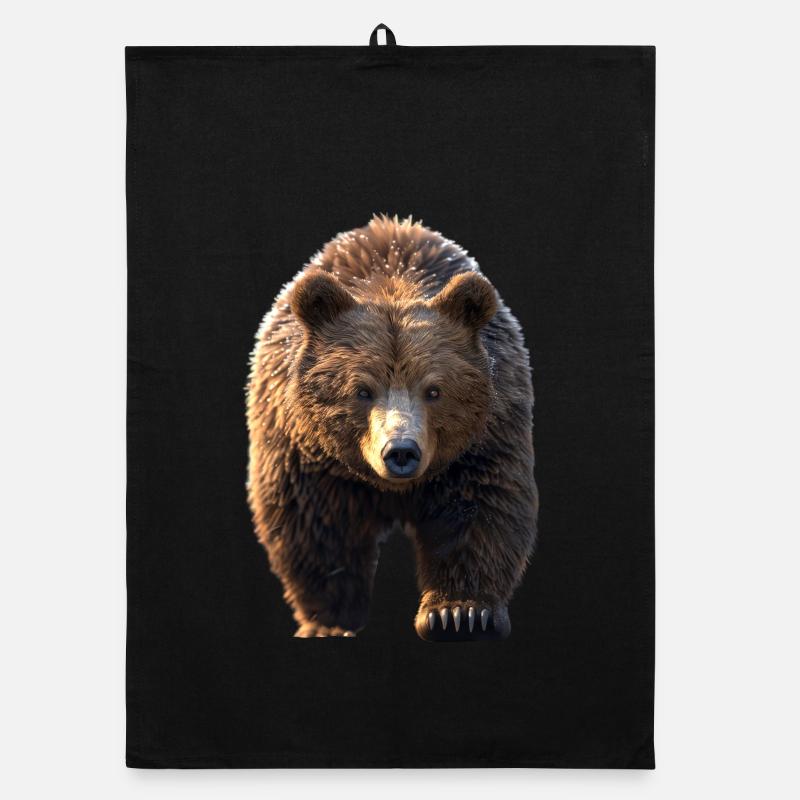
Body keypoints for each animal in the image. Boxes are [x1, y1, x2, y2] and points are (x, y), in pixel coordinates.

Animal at [246, 215, 538, 641]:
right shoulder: (306, 454)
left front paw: (460, 613)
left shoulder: (484, 439)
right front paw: (329, 623)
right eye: (362, 390)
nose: (400, 450)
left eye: (434, 390)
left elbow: (480, 507)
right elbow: (316, 526)